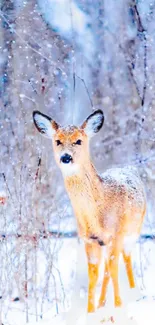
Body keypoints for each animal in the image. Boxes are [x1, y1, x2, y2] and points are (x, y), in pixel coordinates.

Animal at [32, 109, 147, 322]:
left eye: (78, 141)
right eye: (58, 141)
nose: (66, 157)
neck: (97, 214)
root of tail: (128, 167)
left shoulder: (116, 233)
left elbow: (114, 269)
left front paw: (119, 310)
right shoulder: (89, 239)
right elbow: (93, 275)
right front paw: (91, 313)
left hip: (133, 231)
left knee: (125, 259)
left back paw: (134, 292)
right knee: (107, 268)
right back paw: (103, 304)